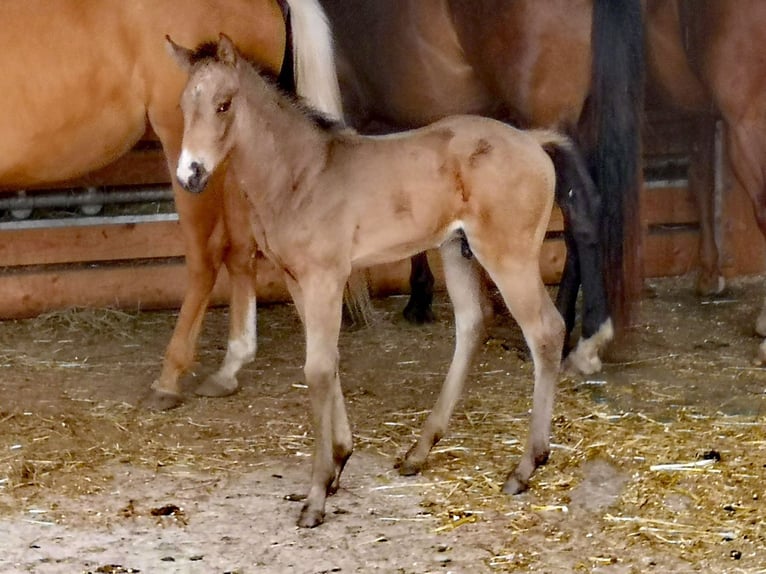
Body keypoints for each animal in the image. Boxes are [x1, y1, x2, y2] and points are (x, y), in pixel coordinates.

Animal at [0, 0, 345, 410]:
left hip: (190, 159)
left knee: (205, 260)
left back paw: (170, 378)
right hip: (228, 164)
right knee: (240, 253)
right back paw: (230, 367)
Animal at [170, 34, 566, 527]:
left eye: (224, 104)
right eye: (184, 106)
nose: (190, 175)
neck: (303, 174)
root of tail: (532, 141)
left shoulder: (324, 277)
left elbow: (318, 370)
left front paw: (317, 494)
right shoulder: (299, 280)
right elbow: (329, 361)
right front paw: (339, 462)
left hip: (509, 255)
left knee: (546, 332)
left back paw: (525, 468)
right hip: (455, 250)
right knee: (473, 323)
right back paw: (419, 452)